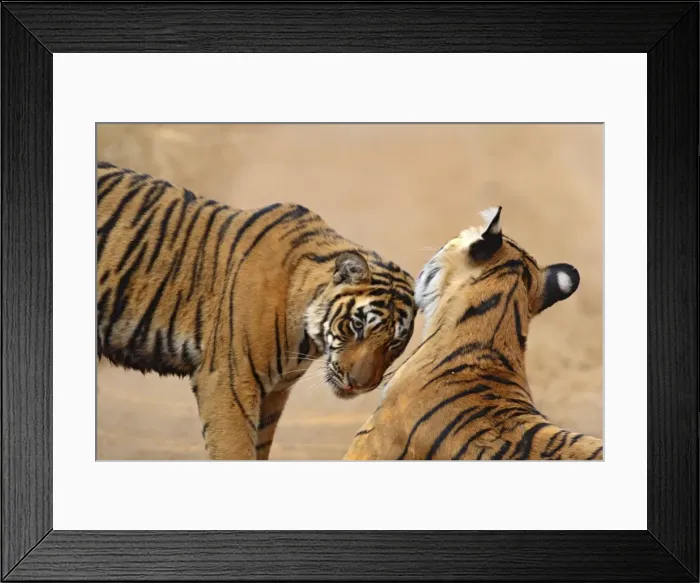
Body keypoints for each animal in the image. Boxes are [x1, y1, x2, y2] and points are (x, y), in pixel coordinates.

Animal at [96, 161, 416, 460]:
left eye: (395, 343)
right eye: (357, 326)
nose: (359, 385)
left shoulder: (274, 393)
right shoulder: (228, 383)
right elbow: (236, 450)